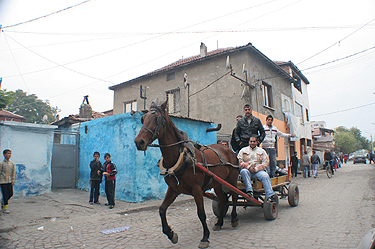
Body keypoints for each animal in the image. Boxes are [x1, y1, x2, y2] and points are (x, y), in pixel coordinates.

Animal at [135, 100, 239, 248]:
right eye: (143, 119)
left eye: (156, 118)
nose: (139, 142)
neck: (181, 158)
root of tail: (229, 149)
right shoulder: (174, 189)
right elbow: (162, 209)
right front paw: (171, 234)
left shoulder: (197, 190)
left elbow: (201, 214)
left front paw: (205, 238)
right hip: (218, 183)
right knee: (224, 200)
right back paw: (219, 223)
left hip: (232, 180)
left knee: (235, 197)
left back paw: (234, 219)